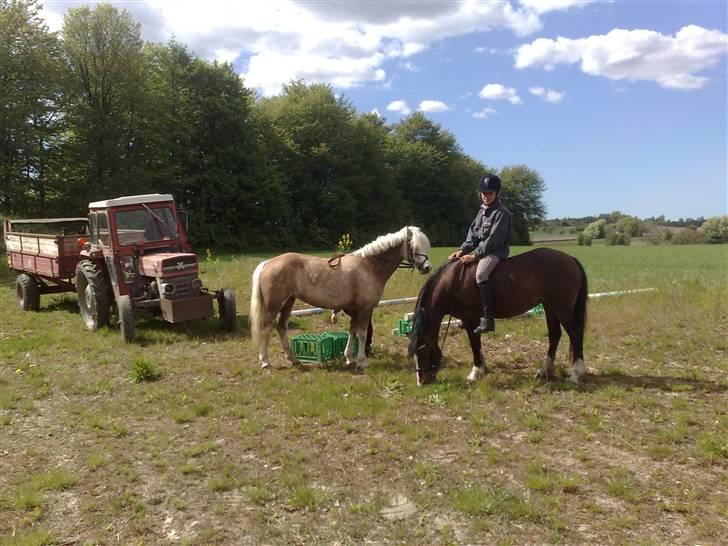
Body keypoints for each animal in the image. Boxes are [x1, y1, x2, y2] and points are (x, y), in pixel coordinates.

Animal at [252, 223, 432, 368]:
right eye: (413, 246)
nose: (427, 268)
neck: (369, 266)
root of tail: (267, 263)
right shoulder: (365, 309)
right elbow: (362, 333)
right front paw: (362, 361)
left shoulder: (356, 310)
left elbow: (352, 332)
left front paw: (349, 358)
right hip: (274, 306)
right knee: (266, 328)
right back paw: (265, 361)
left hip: (288, 303)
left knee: (281, 327)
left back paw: (293, 360)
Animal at [406, 246, 588, 382]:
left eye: (423, 354)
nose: (422, 382)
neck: (454, 282)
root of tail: (570, 259)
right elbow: (477, 344)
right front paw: (483, 368)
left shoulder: (470, 319)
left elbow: (474, 344)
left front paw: (475, 372)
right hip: (549, 307)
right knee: (555, 335)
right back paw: (544, 371)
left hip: (562, 308)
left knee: (575, 335)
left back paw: (576, 374)